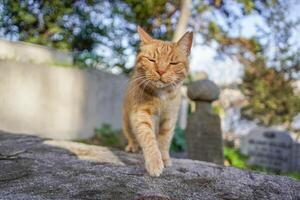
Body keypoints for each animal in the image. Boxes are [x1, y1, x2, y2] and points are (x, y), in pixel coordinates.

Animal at [121, 26, 192, 177]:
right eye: (151, 60)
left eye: (173, 63)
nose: (161, 71)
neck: (162, 95)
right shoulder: (141, 113)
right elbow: (148, 137)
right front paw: (154, 162)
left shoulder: (169, 117)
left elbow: (164, 139)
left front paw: (164, 158)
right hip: (126, 120)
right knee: (132, 135)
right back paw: (133, 146)